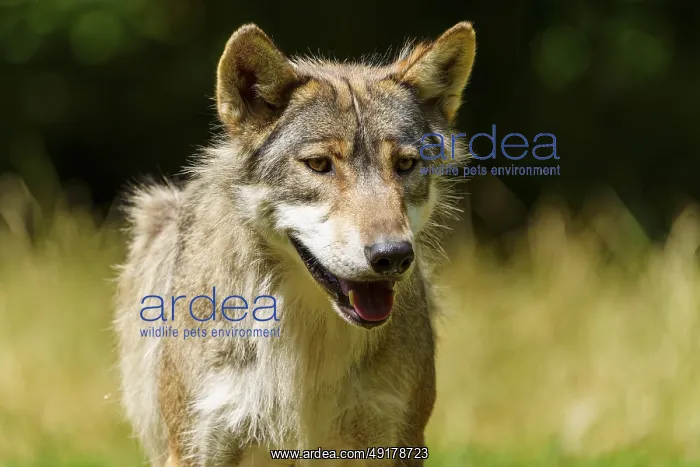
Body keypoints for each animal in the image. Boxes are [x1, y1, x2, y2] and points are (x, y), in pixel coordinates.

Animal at [114, 21, 476, 466]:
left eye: (405, 165)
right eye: (319, 165)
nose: (392, 256)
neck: (309, 343)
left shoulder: (399, 443)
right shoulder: (196, 450)